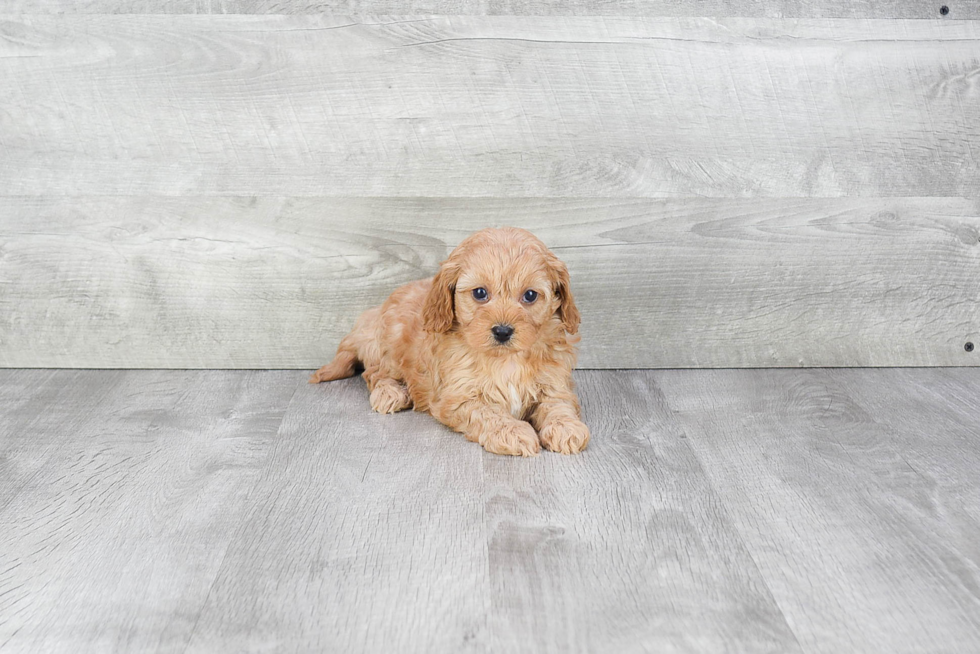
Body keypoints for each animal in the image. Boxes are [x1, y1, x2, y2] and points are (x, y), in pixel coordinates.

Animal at [312, 228, 588, 458]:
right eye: (480, 293)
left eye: (530, 295)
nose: (502, 331)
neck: (506, 360)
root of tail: (371, 316)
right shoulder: (459, 397)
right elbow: (488, 413)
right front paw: (513, 431)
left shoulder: (554, 383)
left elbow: (558, 405)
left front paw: (567, 428)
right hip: (389, 346)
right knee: (374, 373)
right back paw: (391, 393)